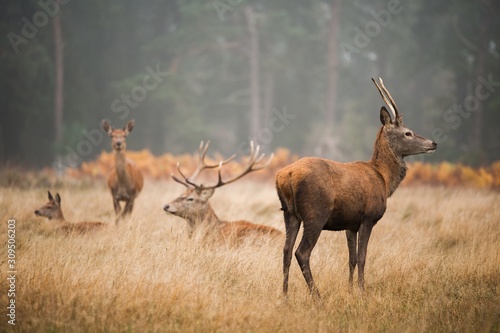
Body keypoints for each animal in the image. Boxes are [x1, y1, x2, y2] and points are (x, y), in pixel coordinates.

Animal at [278, 77, 438, 296]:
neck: (384, 179)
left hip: (290, 213)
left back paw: (285, 295)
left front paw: (350, 290)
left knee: (286, 250)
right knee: (301, 252)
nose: (433, 143)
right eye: (408, 133)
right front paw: (363, 292)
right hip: (315, 213)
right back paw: (317, 295)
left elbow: (351, 260)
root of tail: (286, 175)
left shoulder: (350, 224)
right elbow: (362, 258)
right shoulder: (368, 217)